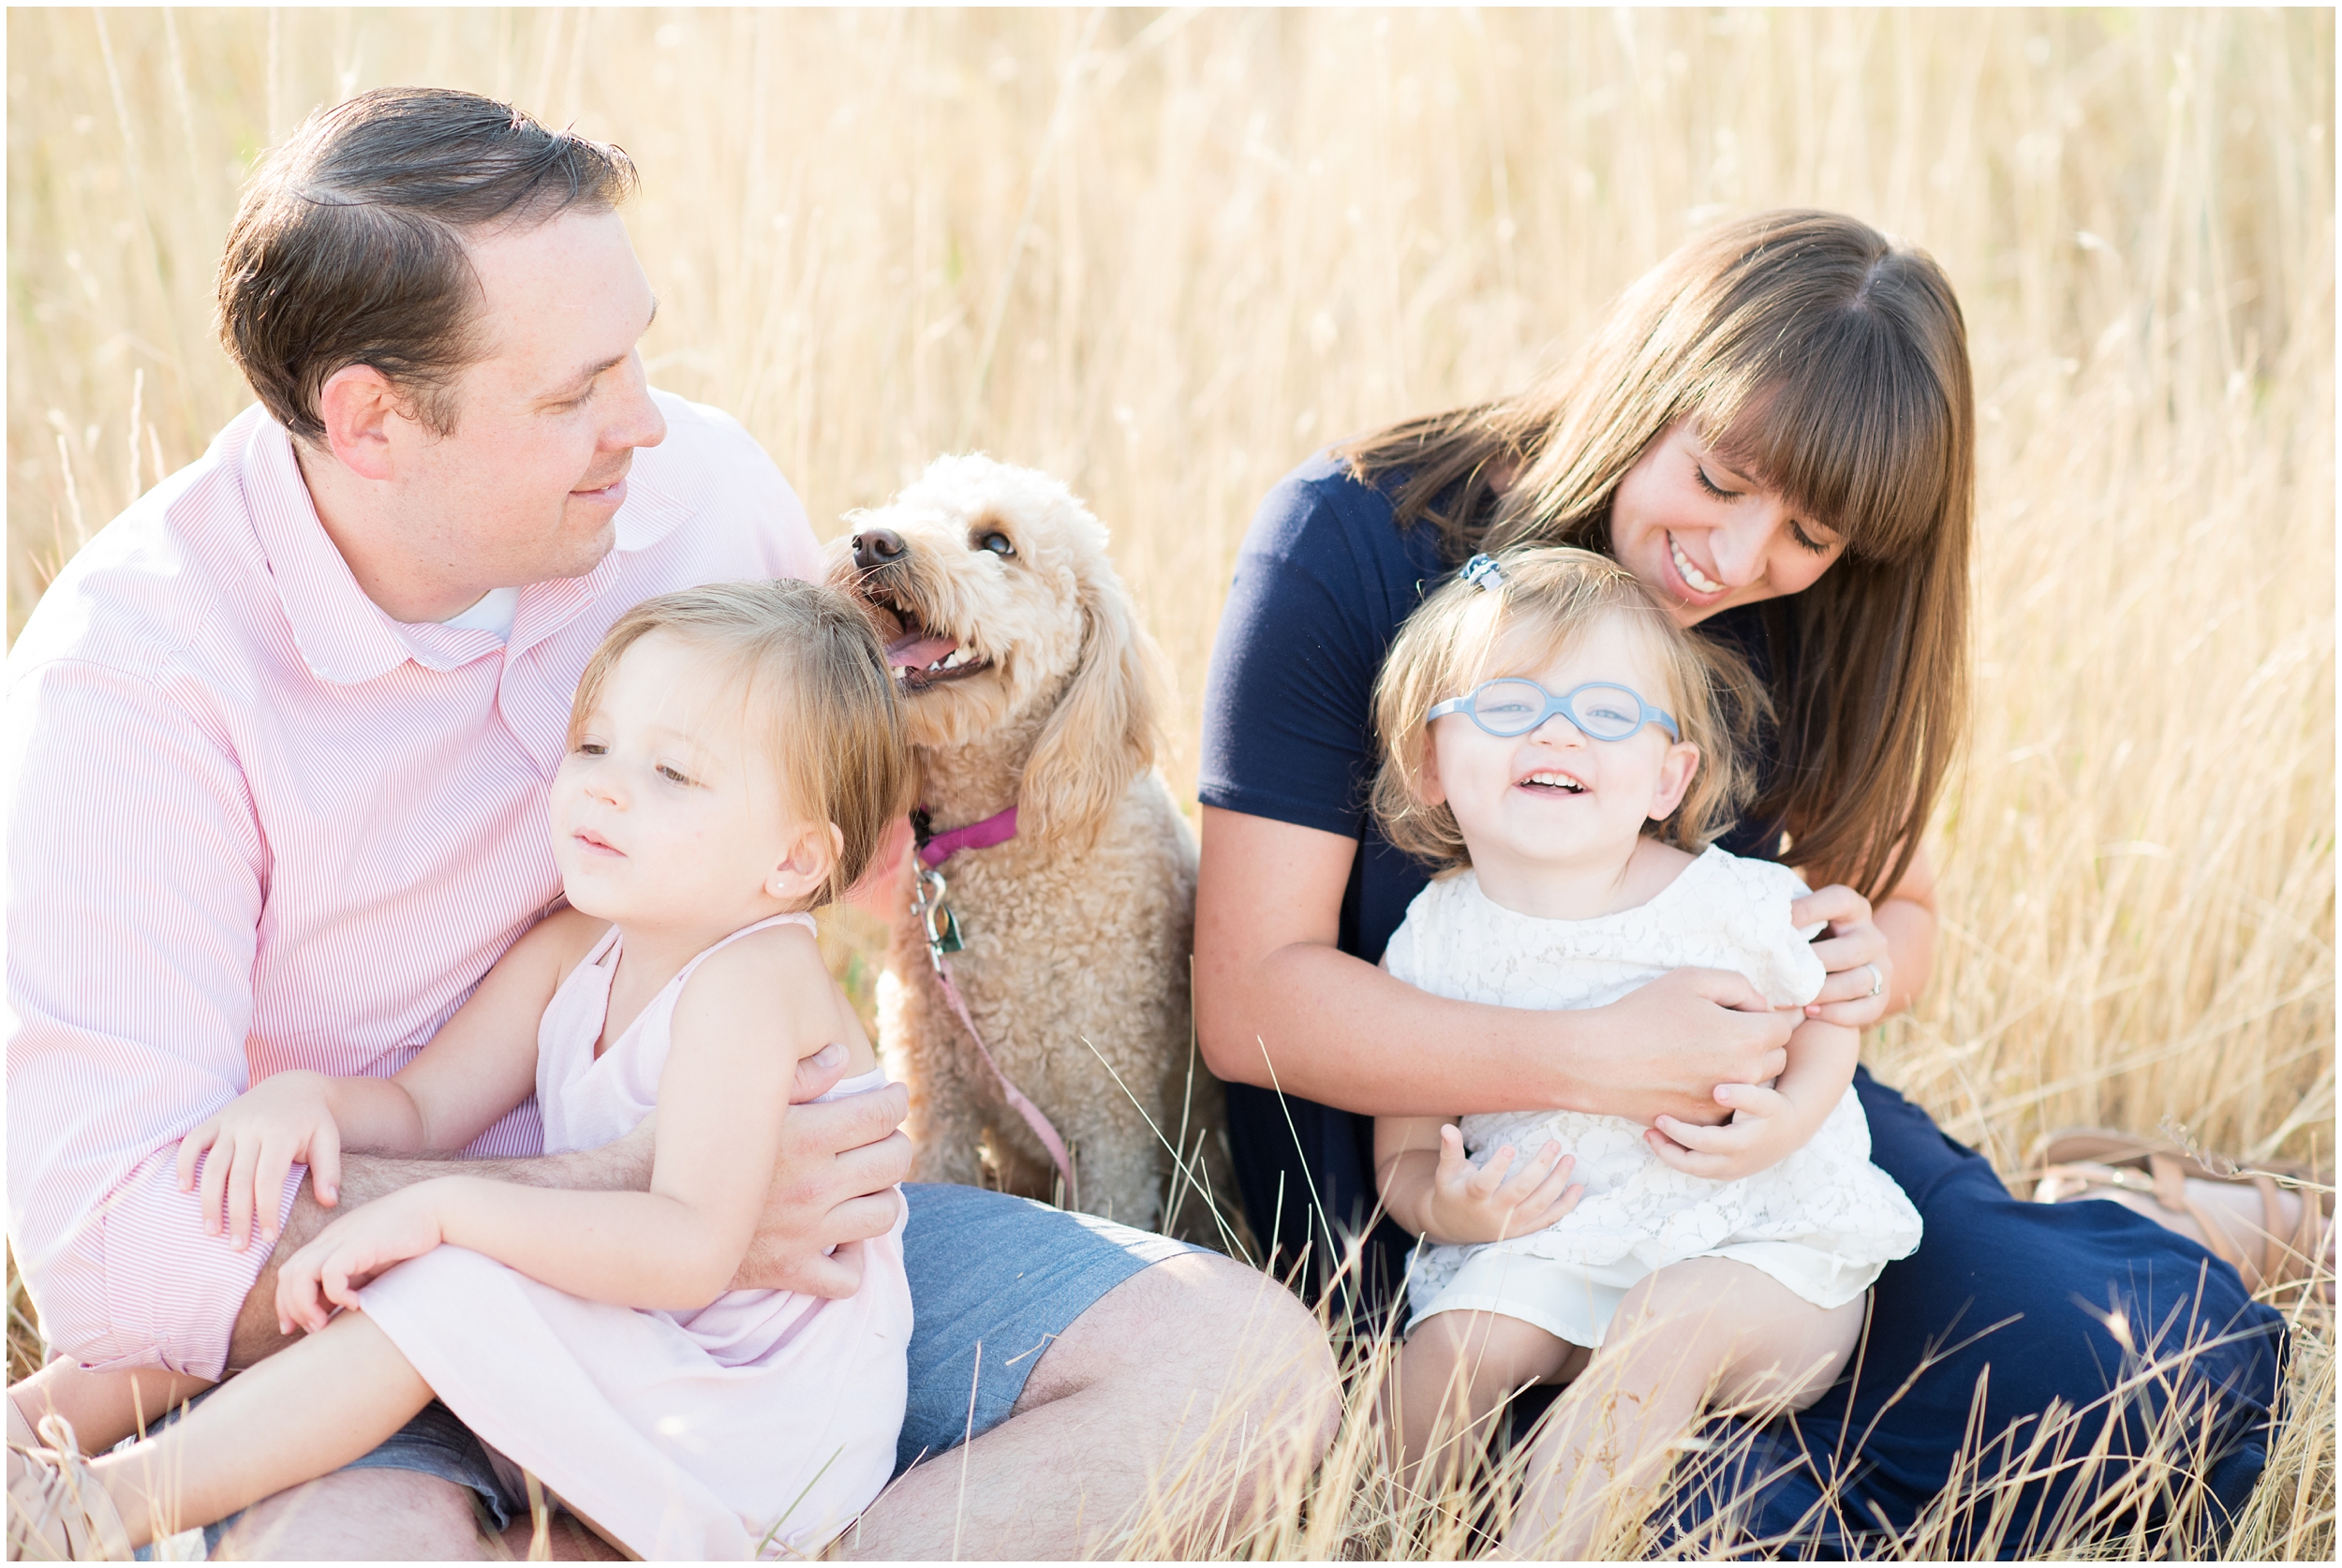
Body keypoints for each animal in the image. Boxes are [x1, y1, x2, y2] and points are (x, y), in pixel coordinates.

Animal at [838, 451, 1246, 1245]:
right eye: (908, 509)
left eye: (997, 543)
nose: (873, 544)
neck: (1004, 836)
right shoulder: (935, 1098)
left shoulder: (1112, 1123)